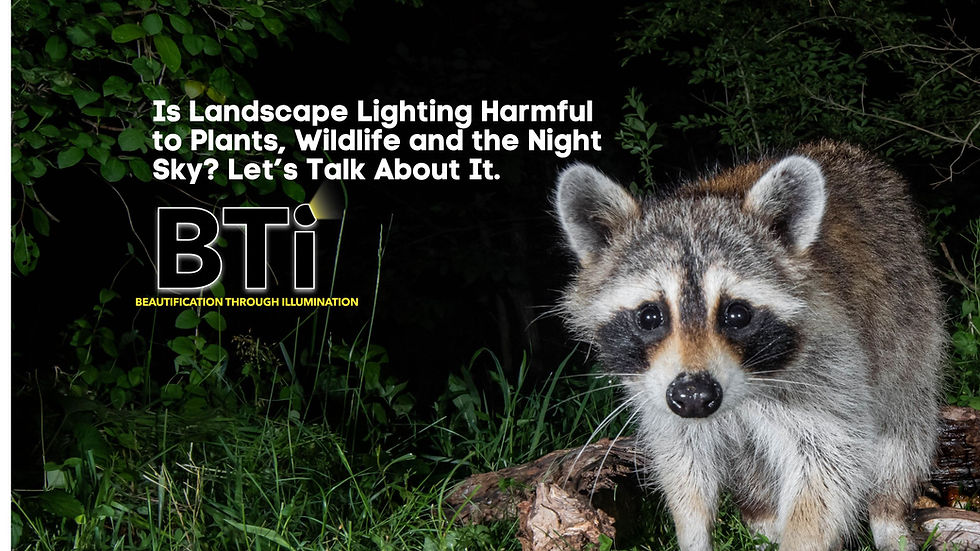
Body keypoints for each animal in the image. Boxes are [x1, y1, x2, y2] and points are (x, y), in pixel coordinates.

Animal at [554, 141, 944, 551]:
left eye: (737, 314)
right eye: (650, 316)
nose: (694, 397)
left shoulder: (831, 365)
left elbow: (829, 469)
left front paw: (802, 537)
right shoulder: (657, 391)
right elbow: (683, 463)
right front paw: (694, 535)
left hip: (911, 324)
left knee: (903, 429)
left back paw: (889, 513)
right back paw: (762, 520)